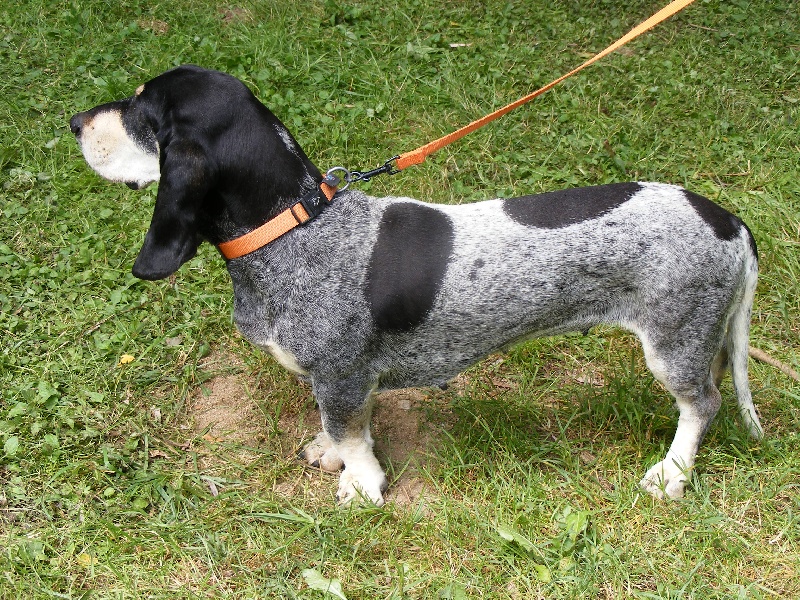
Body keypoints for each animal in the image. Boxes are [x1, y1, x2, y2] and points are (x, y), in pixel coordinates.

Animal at [70, 64, 763, 506]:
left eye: (141, 112)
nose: (75, 121)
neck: (295, 227)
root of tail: (729, 222)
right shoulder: (345, 378)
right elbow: (345, 427)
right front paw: (331, 454)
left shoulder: (340, 373)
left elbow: (353, 436)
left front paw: (359, 485)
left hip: (673, 343)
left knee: (702, 405)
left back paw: (671, 474)